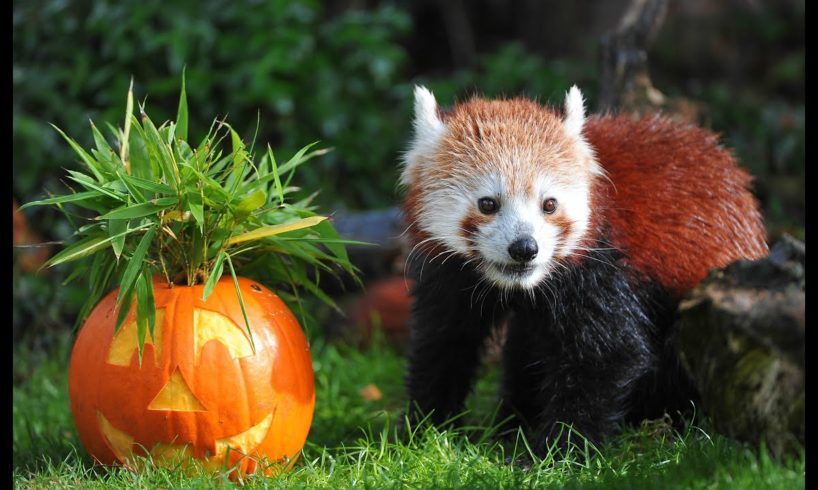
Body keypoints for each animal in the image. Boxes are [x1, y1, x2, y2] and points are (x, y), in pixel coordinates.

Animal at [398, 85, 768, 452]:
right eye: (488, 203)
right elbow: (444, 340)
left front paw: (558, 449)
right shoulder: (450, 273)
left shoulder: (603, 269)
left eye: (549, 205)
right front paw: (424, 429)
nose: (525, 248)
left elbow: (607, 356)